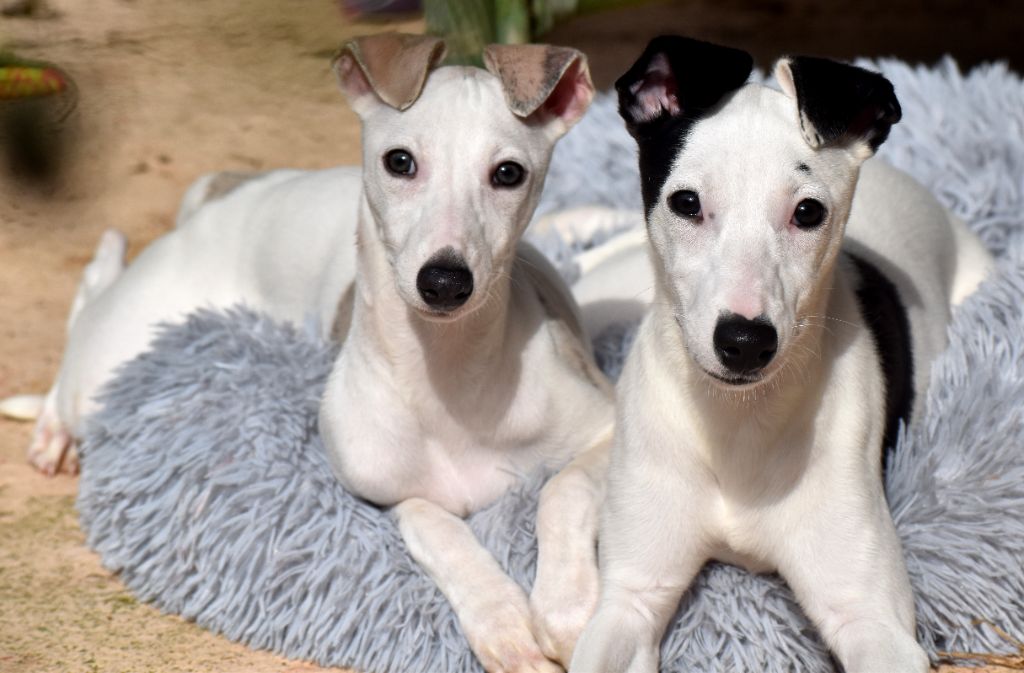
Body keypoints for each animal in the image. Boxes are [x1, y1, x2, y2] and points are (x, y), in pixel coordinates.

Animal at [4, 35, 610, 671]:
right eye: (400, 161)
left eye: (508, 173)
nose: (445, 283)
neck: (448, 377)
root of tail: (221, 198)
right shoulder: (380, 492)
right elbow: (435, 526)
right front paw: (503, 620)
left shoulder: (605, 425)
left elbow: (563, 489)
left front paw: (566, 608)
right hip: (114, 358)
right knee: (84, 315)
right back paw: (52, 428)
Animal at [569, 36, 991, 671]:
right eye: (686, 202)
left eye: (808, 212)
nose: (744, 343)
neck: (736, 423)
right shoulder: (630, 598)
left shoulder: (872, 618)